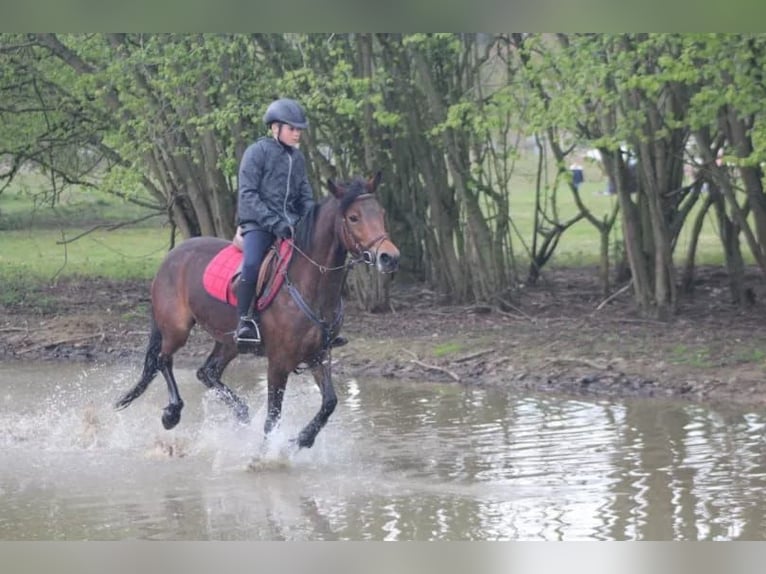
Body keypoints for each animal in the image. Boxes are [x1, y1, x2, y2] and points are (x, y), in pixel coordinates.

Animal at [114, 172, 399, 449]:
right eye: (353, 217)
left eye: (382, 213)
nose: (389, 257)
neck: (310, 286)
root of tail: (170, 257)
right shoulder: (278, 362)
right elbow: (272, 419)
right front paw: (267, 455)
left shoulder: (318, 355)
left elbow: (330, 402)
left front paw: (302, 439)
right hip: (177, 329)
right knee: (163, 360)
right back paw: (172, 413)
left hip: (228, 341)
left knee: (207, 372)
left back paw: (242, 413)